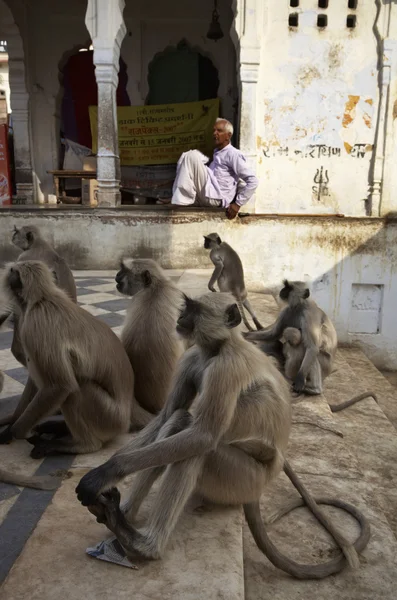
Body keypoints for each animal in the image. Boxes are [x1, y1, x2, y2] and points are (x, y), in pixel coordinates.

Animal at [0, 258, 152, 460]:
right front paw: (11, 424)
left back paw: (80, 445)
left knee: (77, 389)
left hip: (109, 417)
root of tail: (130, 407)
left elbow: (59, 385)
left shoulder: (36, 324)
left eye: (12, 270)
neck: (43, 298)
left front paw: (18, 432)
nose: (7, 270)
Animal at [76, 292, 368, 580]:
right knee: (177, 420)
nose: (180, 317)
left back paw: (144, 544)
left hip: (242, 477)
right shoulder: (192, 358)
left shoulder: (226, 368)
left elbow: (203, 437)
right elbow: (165, 415)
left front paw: (104, 474)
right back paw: (122, 516)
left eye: (193, 309)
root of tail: (258, 488)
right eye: (186, 307)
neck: (216, 349)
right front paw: (105, 472)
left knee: (196, 444)